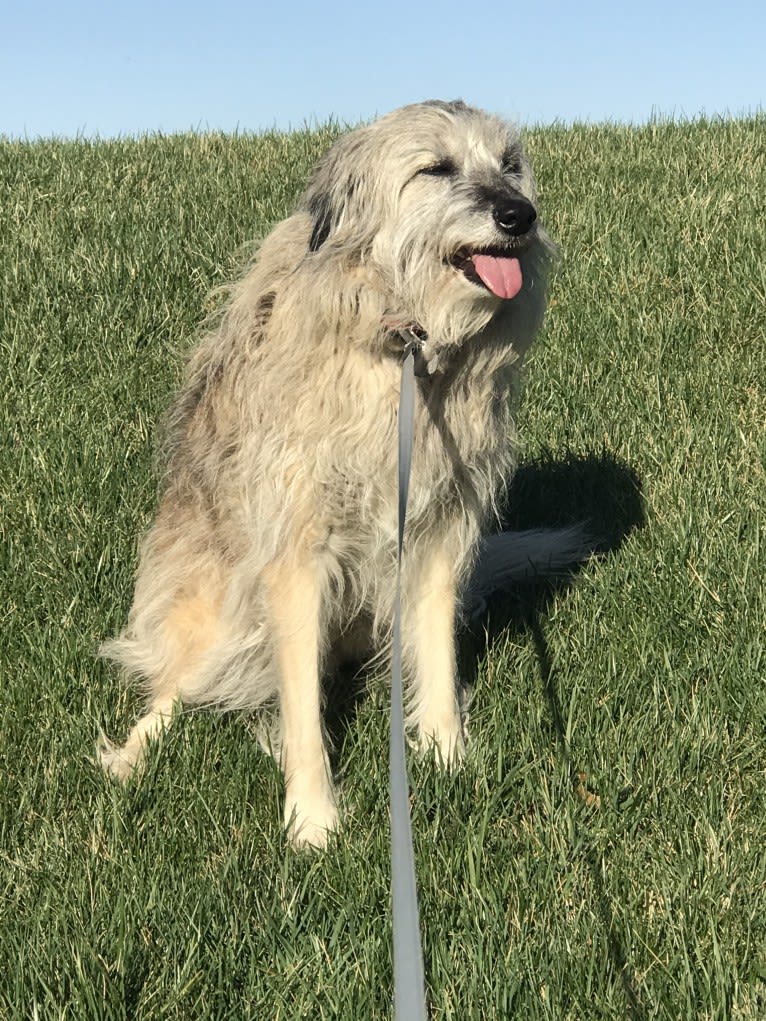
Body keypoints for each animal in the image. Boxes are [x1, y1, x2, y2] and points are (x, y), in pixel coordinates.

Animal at [99, 97, 580, 845]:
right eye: (436, 168)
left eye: (510, 165)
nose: (519, 215)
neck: (402, 343)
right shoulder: (298, 555)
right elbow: (300, 708)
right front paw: (313, 819)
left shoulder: (439, 533)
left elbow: (437, 652)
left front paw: (446, 756)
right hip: (219, 615)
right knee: (175, 684)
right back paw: (132, 753)